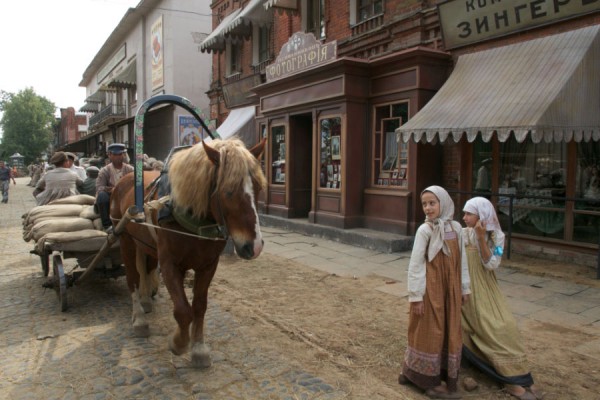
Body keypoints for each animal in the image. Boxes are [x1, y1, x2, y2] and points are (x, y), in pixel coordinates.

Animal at [110, 139, 264, 368]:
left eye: (259, 187)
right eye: (228, 191)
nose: (254, 246)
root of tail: (124, 180)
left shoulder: (208, 265)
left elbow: (199, 306)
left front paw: (198, 347)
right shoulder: (170, 264)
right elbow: (183, 310)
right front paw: (179, 343)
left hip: (145, 244)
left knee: (145, 267)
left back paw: (146, 300)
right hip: (125, 239)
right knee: (132, 278)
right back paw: (139, 317)